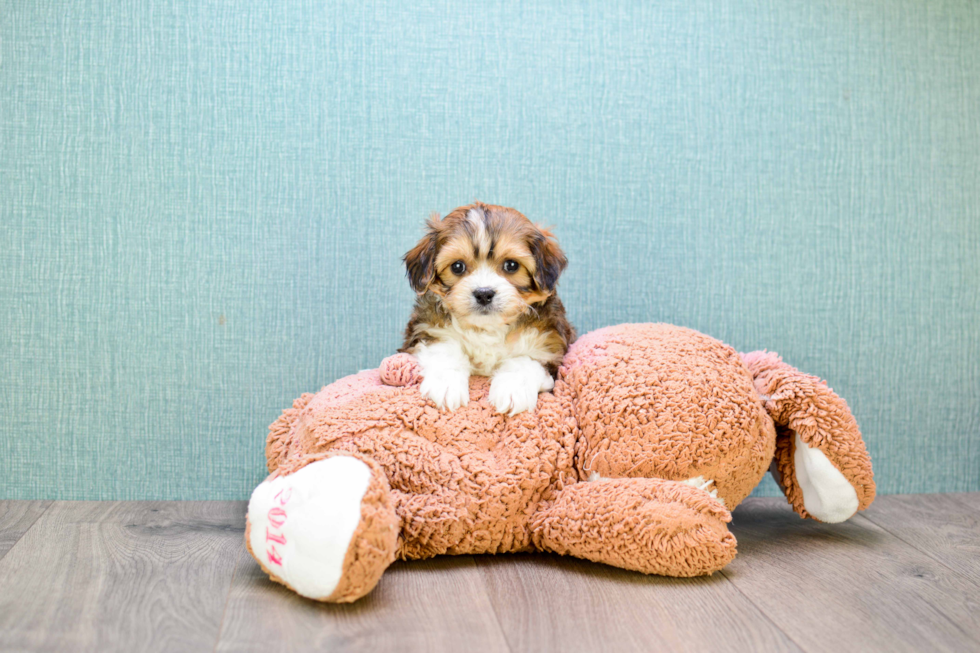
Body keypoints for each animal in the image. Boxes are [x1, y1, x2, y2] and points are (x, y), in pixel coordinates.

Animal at [402, 201, 580, 412]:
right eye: (457, 267)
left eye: (511, 265)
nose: (484, 293)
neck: (487, 328)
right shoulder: (427, 331)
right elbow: (445, 350)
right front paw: (446, 384)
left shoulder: (549, 346)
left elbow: (525, 361)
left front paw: (513, 390)